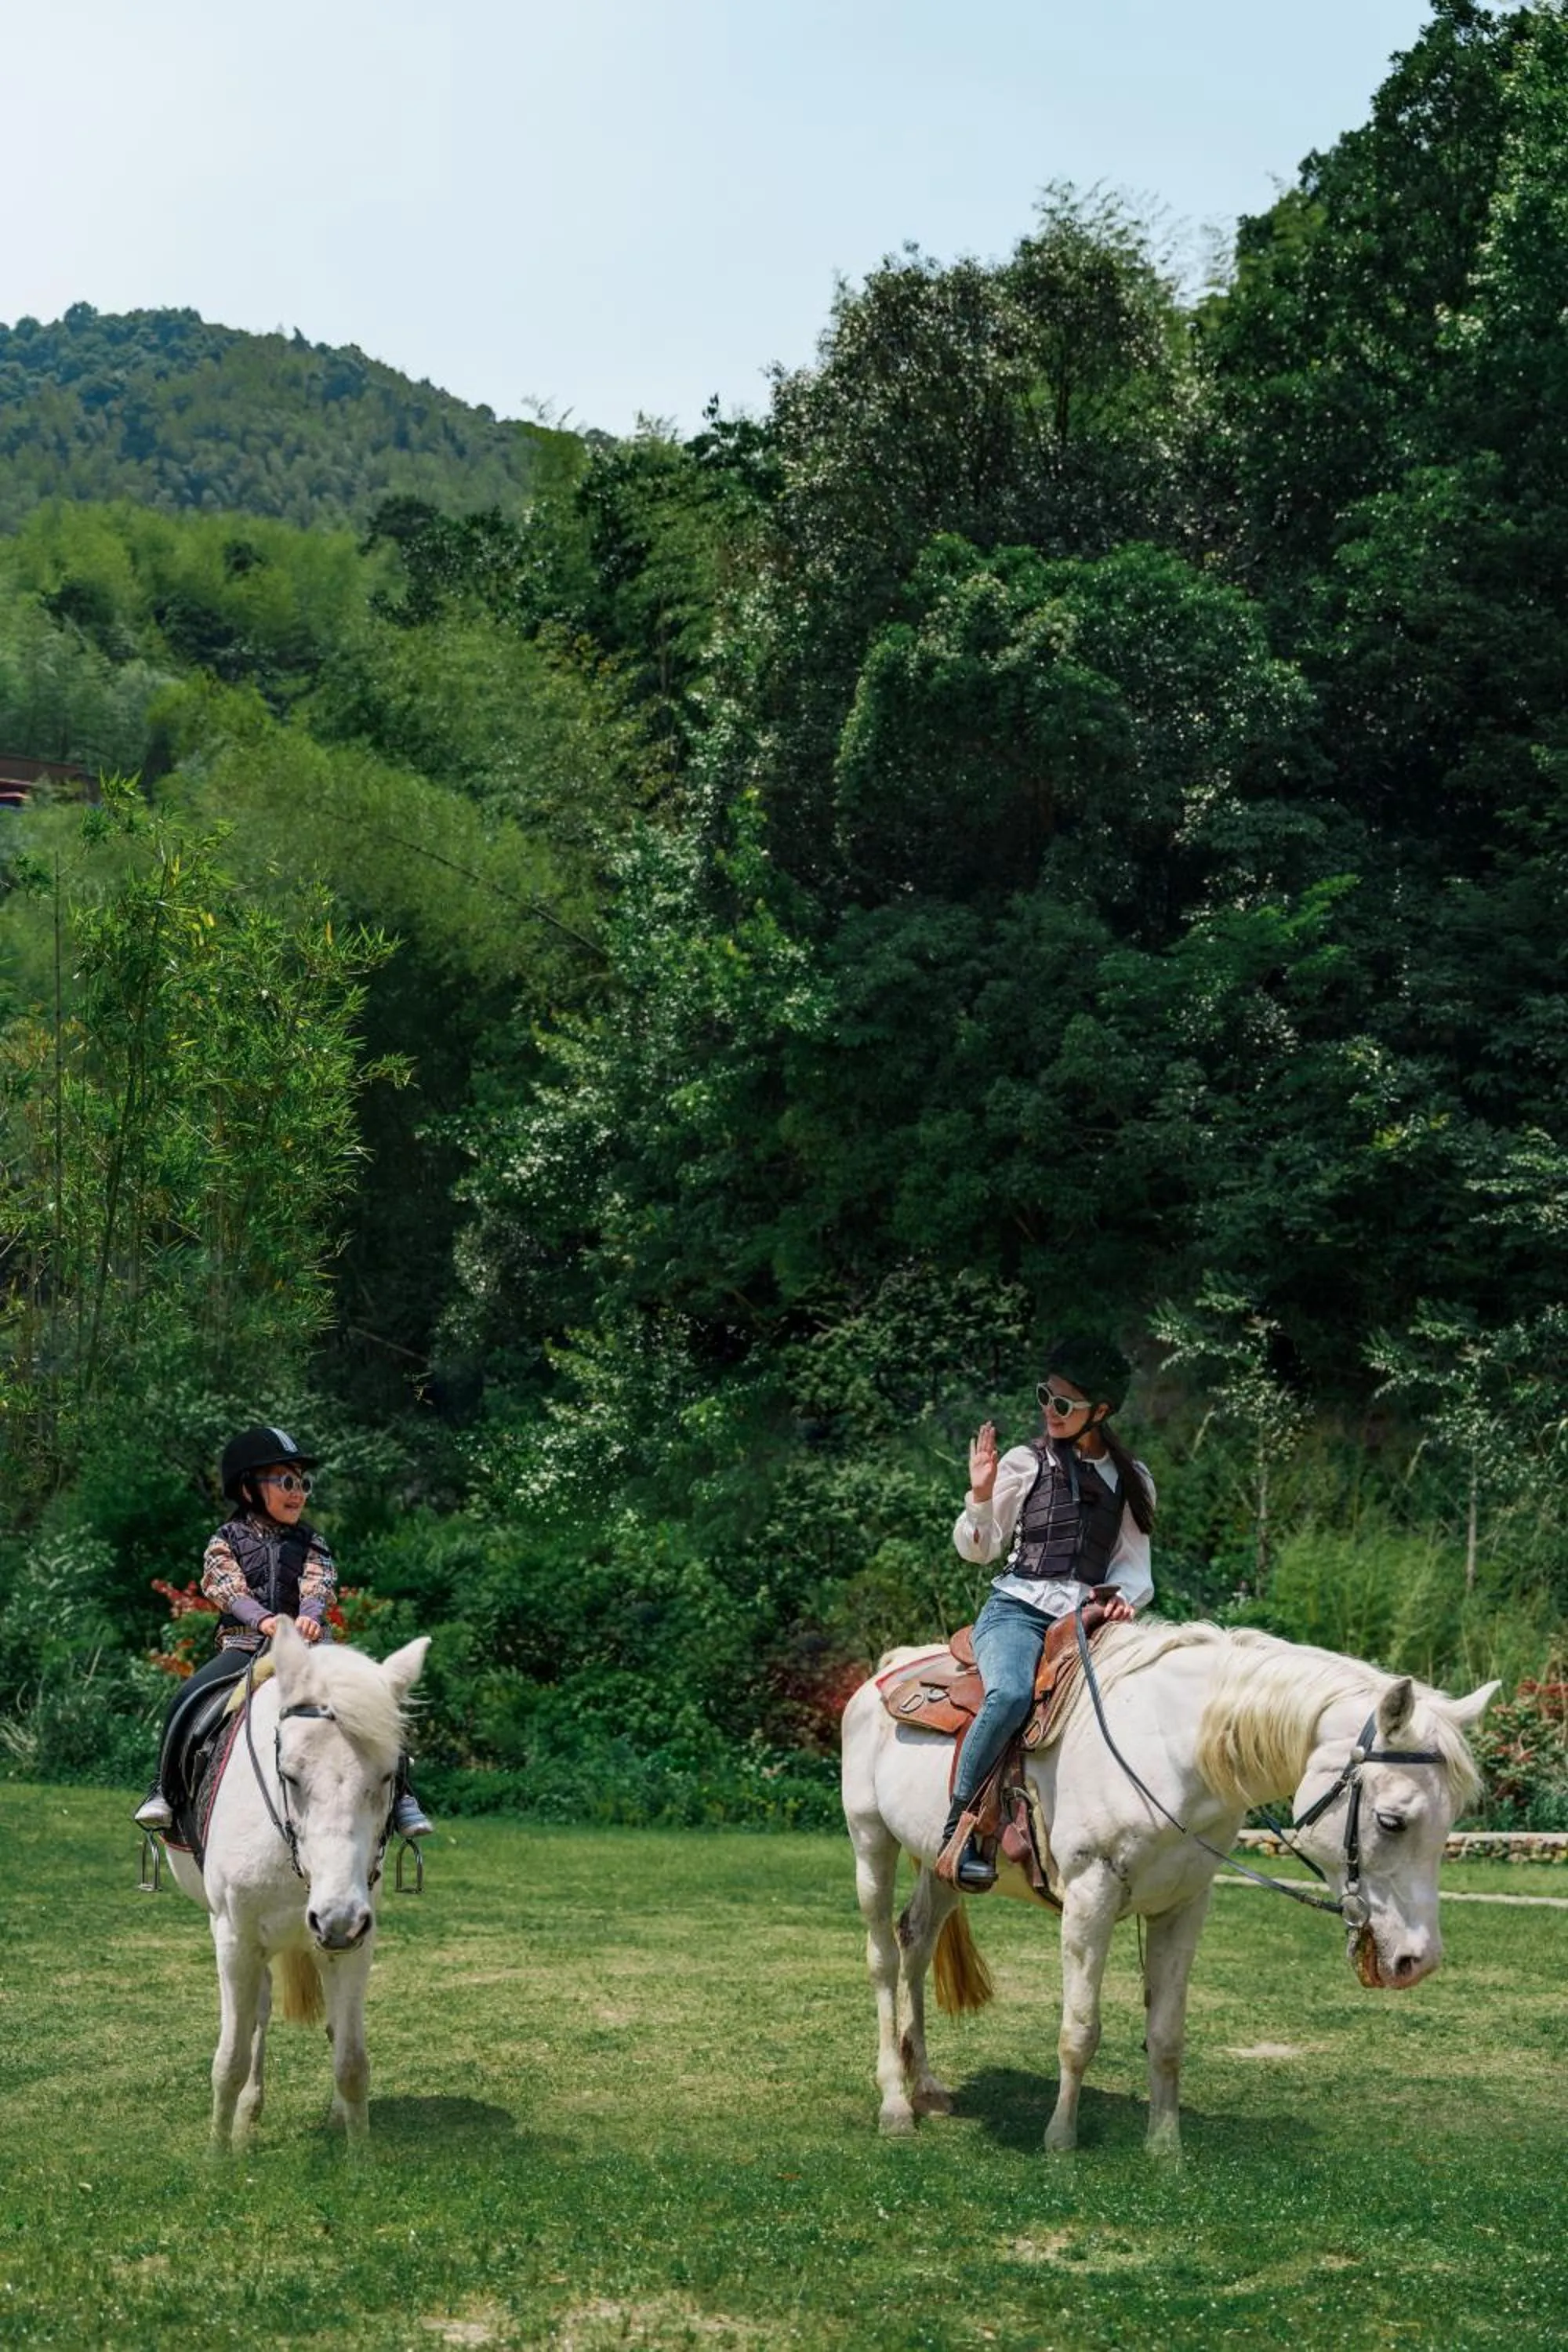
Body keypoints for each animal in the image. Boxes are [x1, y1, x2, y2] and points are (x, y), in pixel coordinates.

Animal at [160, 1617, 430, 2151]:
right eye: (289, 1775)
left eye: (389, 1776)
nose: (337, 1918)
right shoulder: (235, 1941)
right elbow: (231, 2059)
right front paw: (217, 2156)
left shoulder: (357, 1942)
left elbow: (352, 2062)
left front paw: (359, 2156)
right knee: (258, 2016)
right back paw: (247, 2117)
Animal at [840, 1618, 1498, 2153]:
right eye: (1392, 1821)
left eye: (1451, 1823)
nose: (1418, 1960)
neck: (1169, 1752)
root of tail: (885, 1672)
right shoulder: (1090, 1896)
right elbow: (1080, 2030)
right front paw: (1061, 2141)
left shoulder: (1184, 1905)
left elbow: (1166, 2034)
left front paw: (1164, 2146)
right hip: (871, 1840)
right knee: (882, 1959)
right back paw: (895, 2103)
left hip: (940, 1865)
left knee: (916, 1944)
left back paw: (927, 2087)